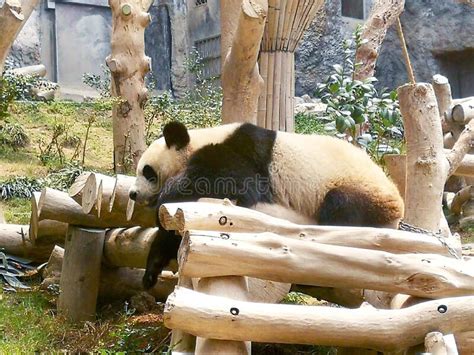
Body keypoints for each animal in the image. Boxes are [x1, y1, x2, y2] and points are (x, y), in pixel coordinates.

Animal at [130, 122, 404, 290]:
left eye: (148, 172)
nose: (133, 193)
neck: (201, 139)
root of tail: (397, 216)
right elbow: (172, 232)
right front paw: (151, 272)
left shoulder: (239, 153)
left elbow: (235, 183)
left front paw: (168, 195)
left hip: (359, 191)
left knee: (341, 211)